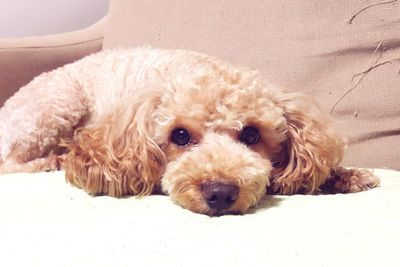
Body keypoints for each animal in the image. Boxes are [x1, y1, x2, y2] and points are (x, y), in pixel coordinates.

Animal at [0, 47, 380, 216]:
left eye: (252, 134)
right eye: (179, 136)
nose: (220, 193)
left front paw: (347, 176)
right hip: (57, 105)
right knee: (10, 162)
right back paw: (50, 162)